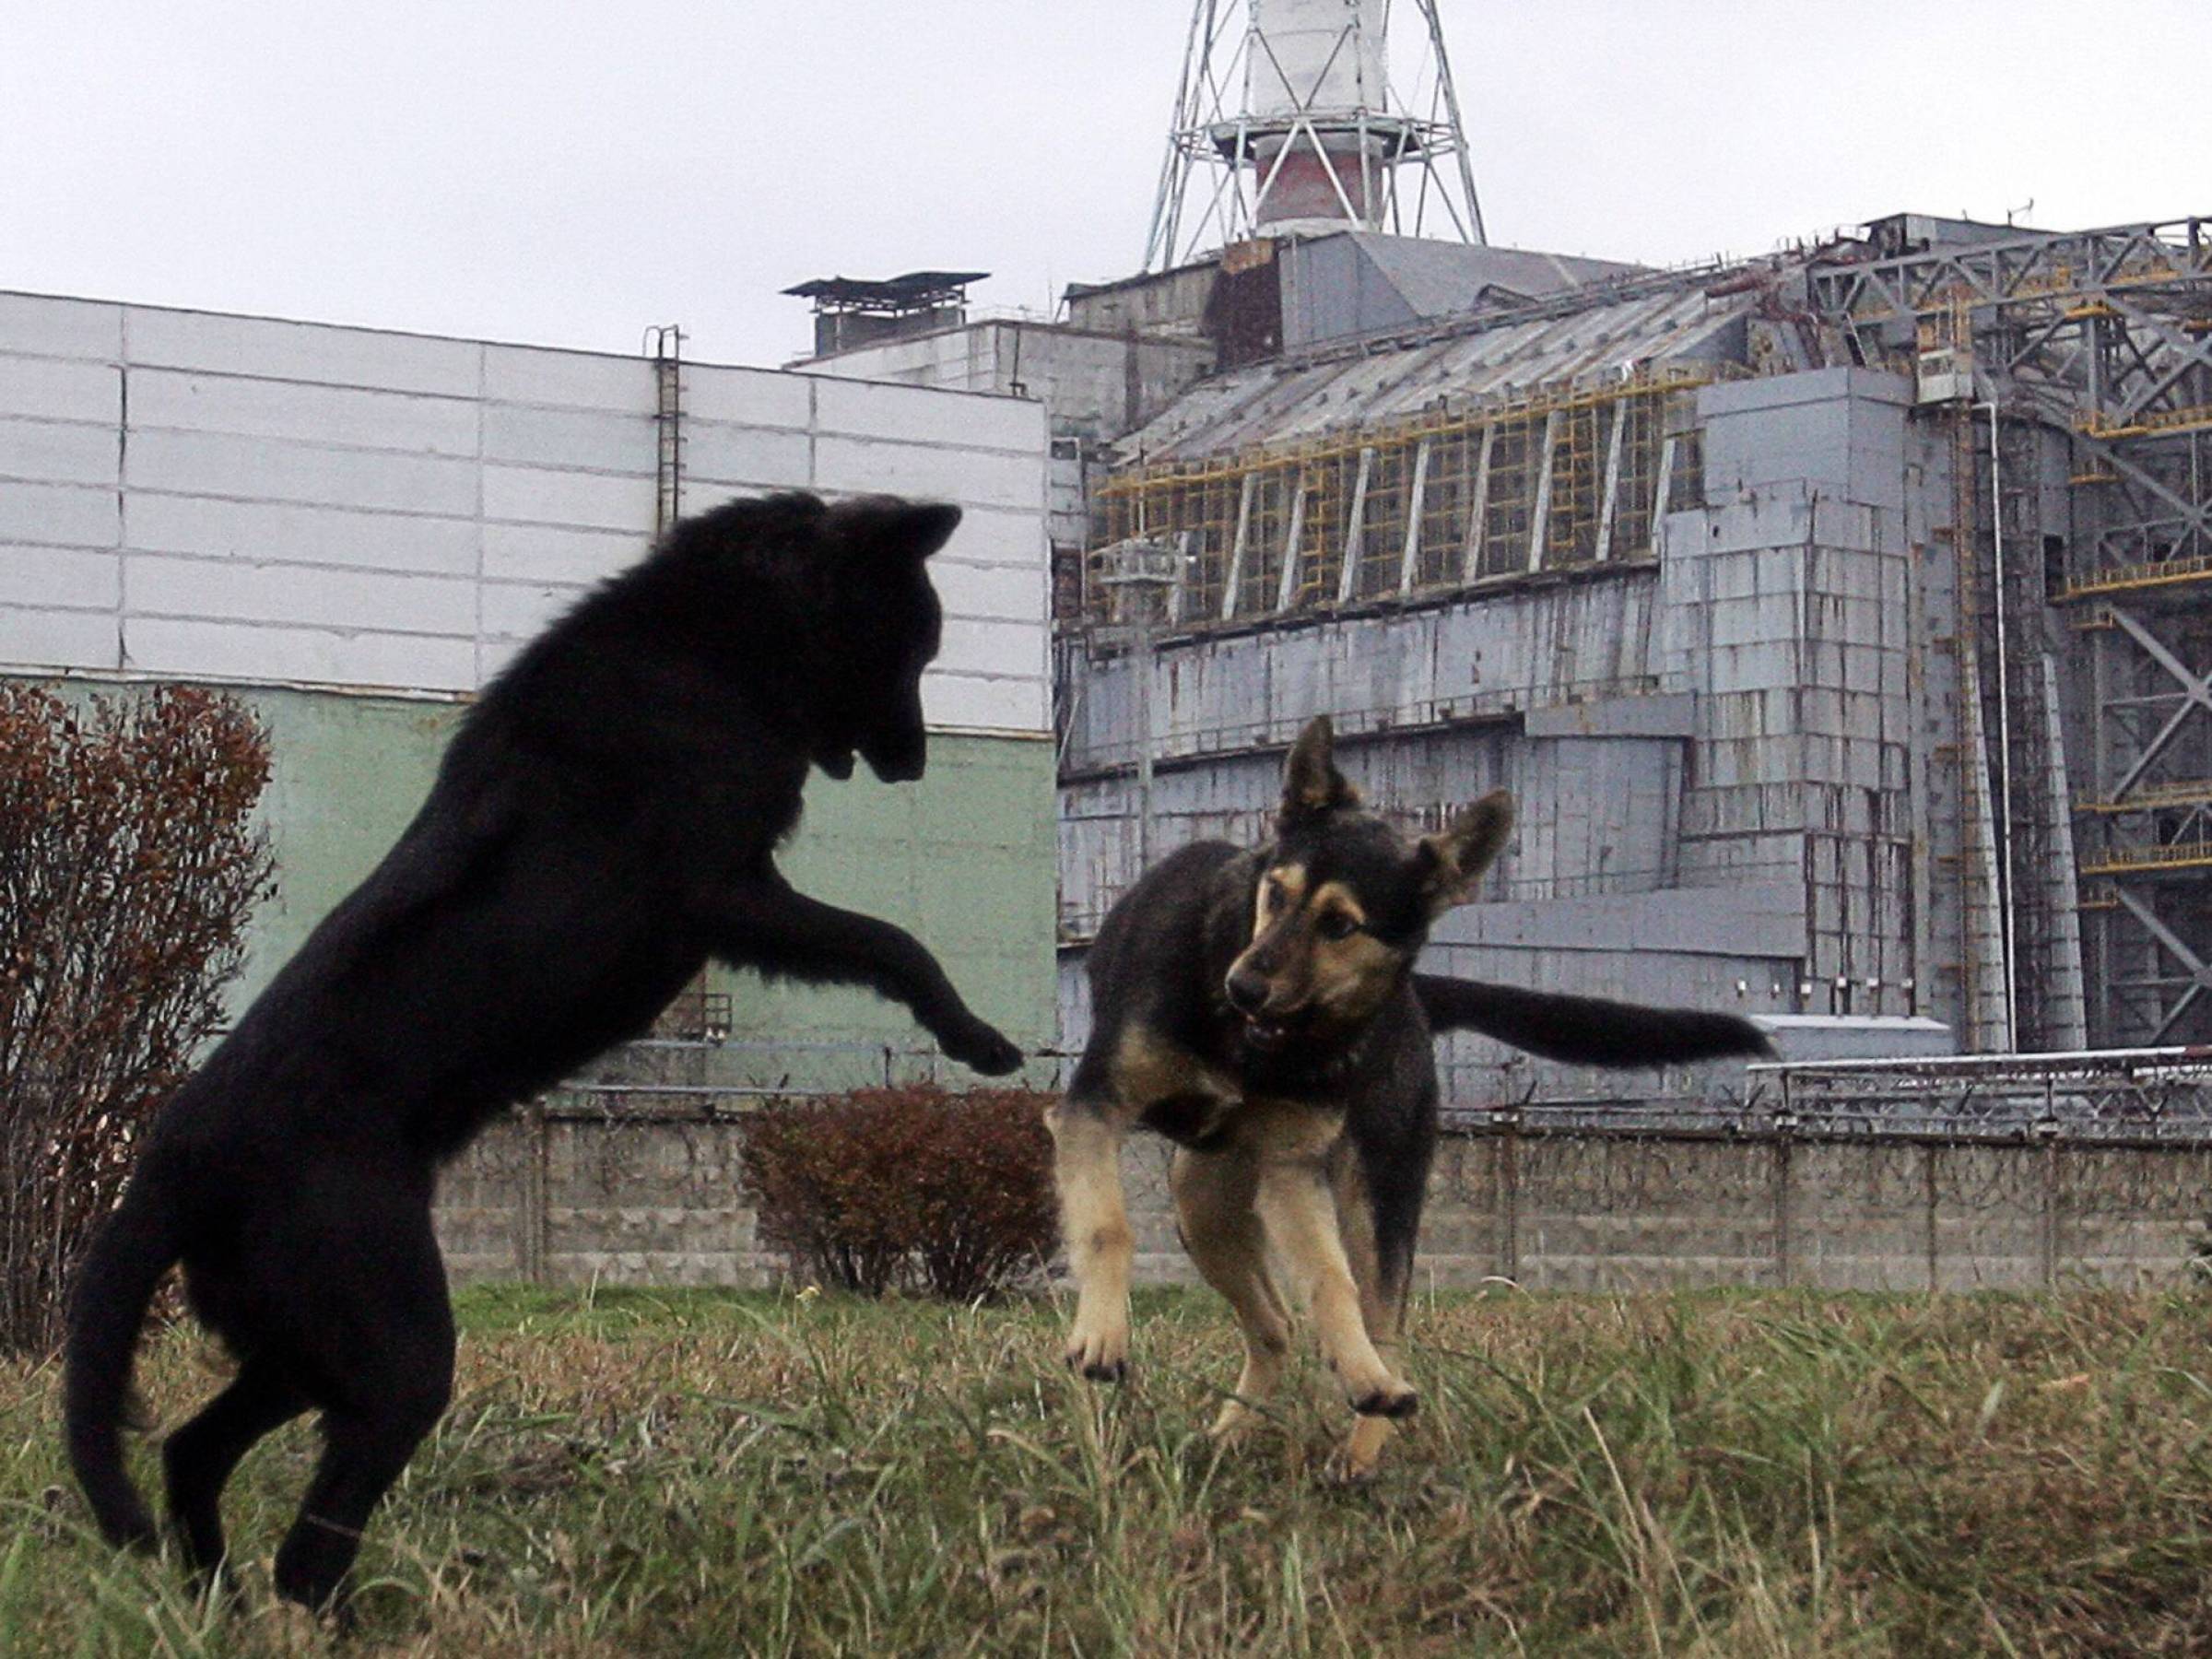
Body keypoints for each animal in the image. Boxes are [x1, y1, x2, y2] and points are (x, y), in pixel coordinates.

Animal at [65, 490, 1021, 1610]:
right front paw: (977, 1037)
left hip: (300, 1347)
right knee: (308, 1543)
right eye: (915, 646)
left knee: (191, 1453)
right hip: (391, 1343)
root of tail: (172, 1164)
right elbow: (892, 941)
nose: (915, 760)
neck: (718, 647)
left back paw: (220, 1603)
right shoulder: (727, 893)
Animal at [1043, 716, 1770, 1477]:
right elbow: (1108, 1225)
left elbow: (1332, 1282)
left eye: (1340, 925)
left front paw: (1361, 1374)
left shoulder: (1291, 1168)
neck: (1258, 1043)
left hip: (1376, 1191)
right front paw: (1102, 1337)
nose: (1242, 986)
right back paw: (1232, 1434)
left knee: (1375, 1318)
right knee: (1274, 1327)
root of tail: (1416, 1003)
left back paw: (1363, 1428)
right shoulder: (1092, 1110)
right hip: (1202, 1201)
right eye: (1276, 892)